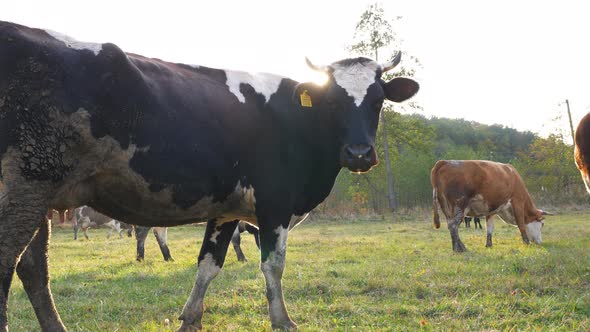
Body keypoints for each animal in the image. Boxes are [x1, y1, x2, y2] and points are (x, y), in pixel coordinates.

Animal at [0, 21, 420, 332]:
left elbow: (208, 265)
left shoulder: (226, 208)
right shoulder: (275, 203)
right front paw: (283, 321)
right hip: (26, 183)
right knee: (10, 261)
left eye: (378, 100)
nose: (359, 154)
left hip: (40, 195)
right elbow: (273, 265)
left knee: (34, 268)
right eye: (332, 101)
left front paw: (190, 318)